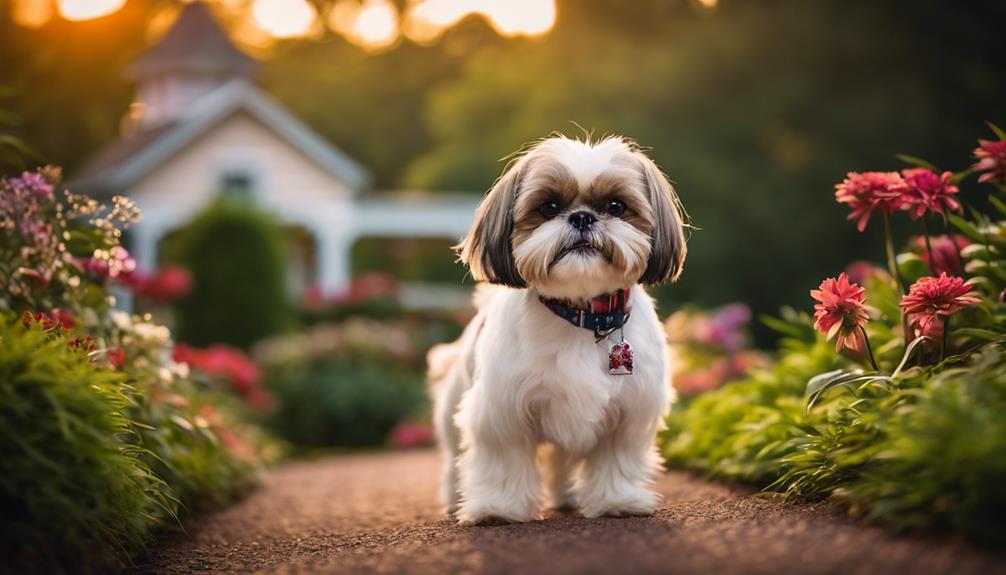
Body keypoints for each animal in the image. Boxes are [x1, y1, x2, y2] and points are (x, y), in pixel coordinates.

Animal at [428, 134, 688, 526]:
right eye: (548, 207)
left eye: (616, 205)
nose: (582, 217)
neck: (579, 316)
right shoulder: (502, 411)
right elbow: (504, 460)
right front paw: (498, 508)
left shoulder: (628, 411)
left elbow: (616, 458)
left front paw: (617, 501)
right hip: (452, 411)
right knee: (452, 462)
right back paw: (453, 498)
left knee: (560, 461)